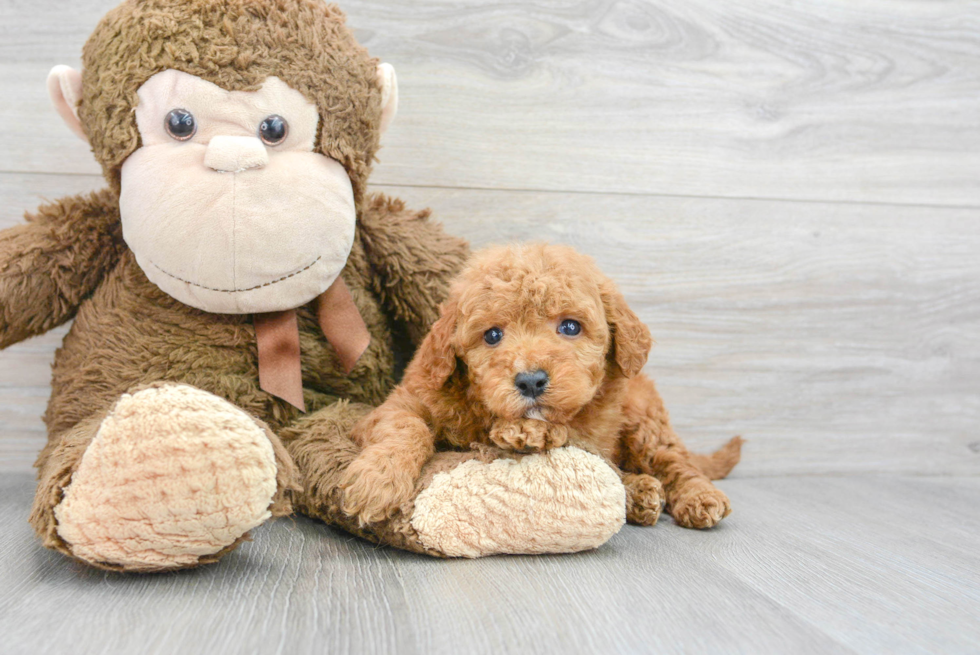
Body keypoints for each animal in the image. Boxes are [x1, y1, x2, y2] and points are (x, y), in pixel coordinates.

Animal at [340, 243, 740, 532]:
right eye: (492, 335)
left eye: (570, 327)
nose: (530, 380)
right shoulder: (404, 400)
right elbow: (407, 426)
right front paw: (377, 482)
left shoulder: (593, 430)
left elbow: (574, 440)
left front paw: (527, 431)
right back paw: (641, 493)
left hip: (645, 419)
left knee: (675, 463)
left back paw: (696, 498)